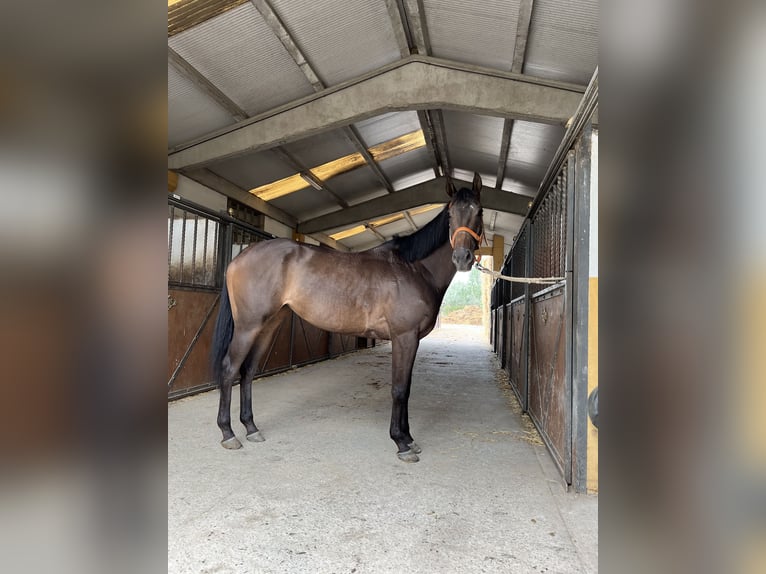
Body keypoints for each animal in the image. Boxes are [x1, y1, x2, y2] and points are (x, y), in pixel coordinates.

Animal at [210, 172, 486, 464]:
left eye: (478, 211)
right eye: (450, 214)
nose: (462, 257)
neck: (414, 268)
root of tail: (239, 257)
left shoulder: (412, 340)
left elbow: (407, 388)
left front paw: (409, 438)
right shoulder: (404, 337)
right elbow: (399, 389)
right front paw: (401, 443)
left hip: (268, 326)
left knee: (248, 370)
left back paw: (251, 427)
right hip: (247, 327)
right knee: (229, 368)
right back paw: (228, 433)